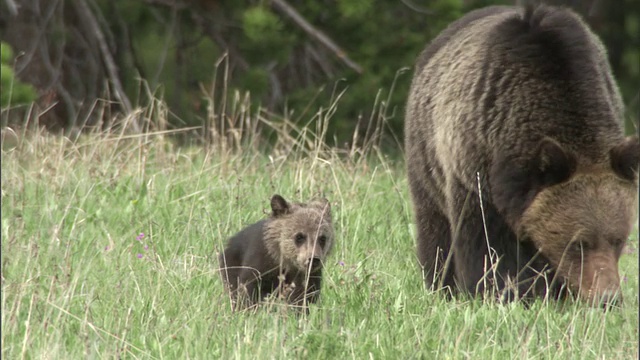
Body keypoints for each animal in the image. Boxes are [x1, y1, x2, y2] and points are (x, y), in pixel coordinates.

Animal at [408, 4, 636, 306]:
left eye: (618, 239)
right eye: (578, 243)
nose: (607, 298)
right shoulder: (475, 167)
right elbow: (487, 245)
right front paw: (500, 291)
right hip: (426, 156)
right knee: (435, 226)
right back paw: (441, 284)